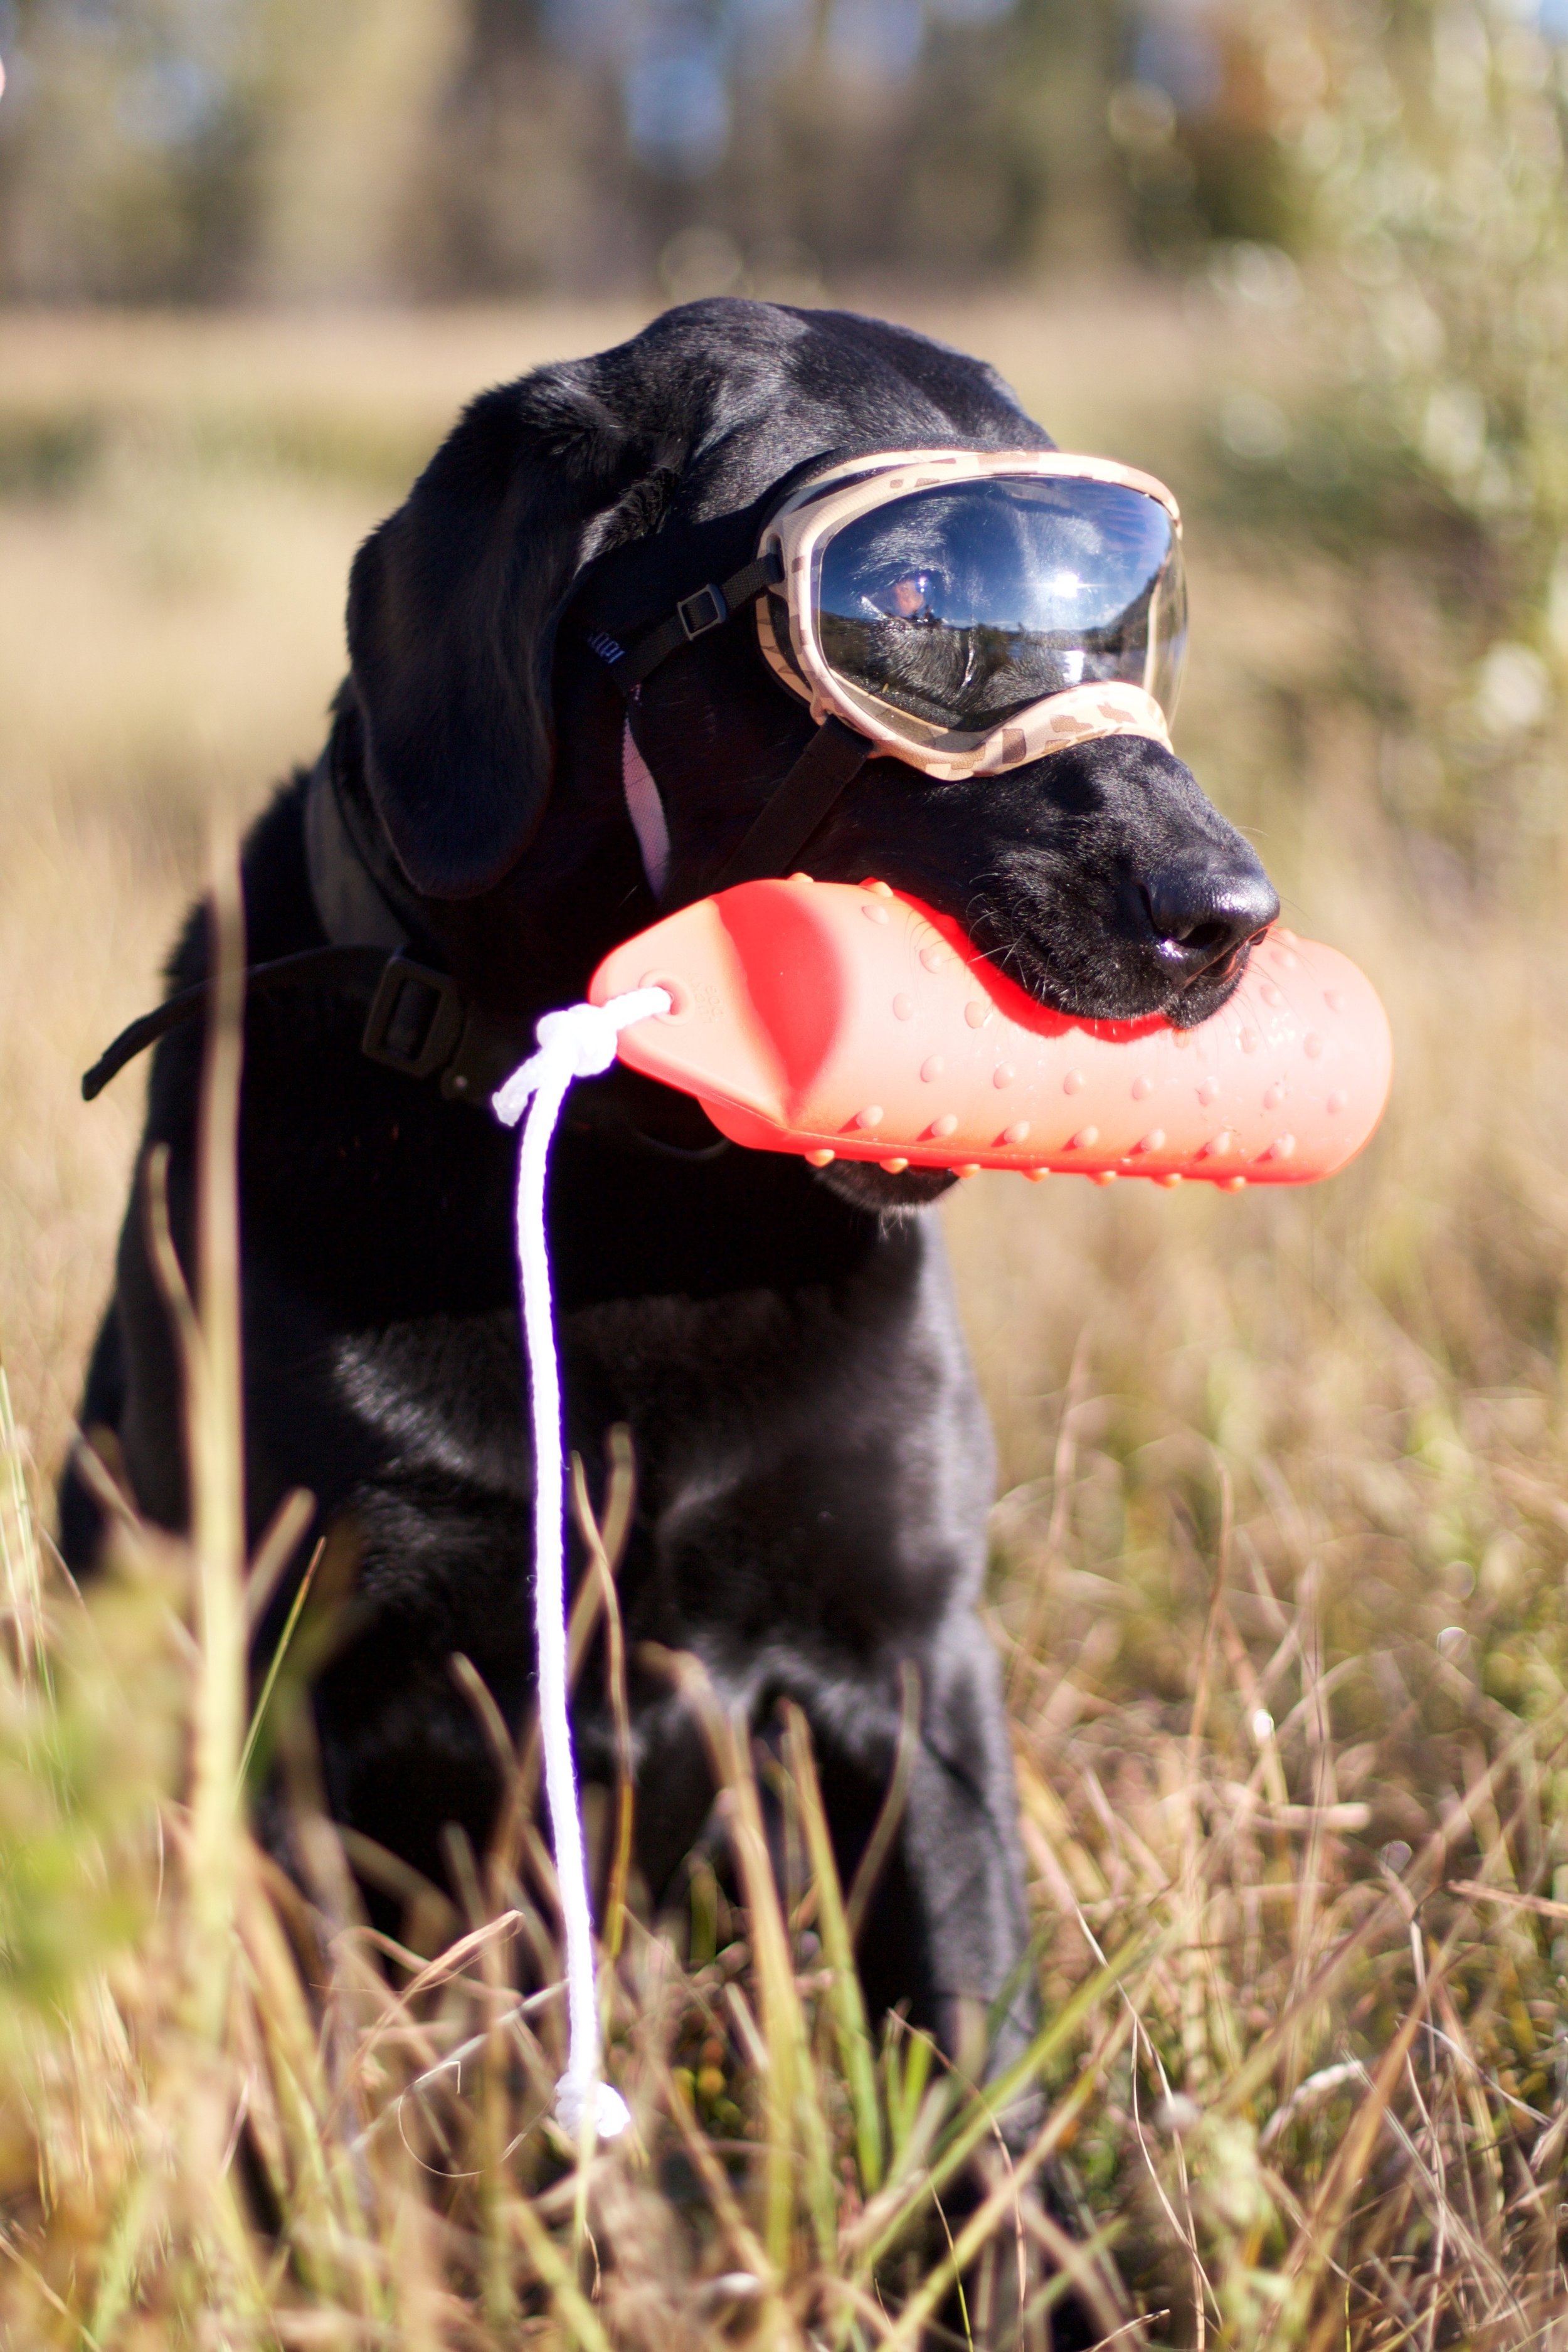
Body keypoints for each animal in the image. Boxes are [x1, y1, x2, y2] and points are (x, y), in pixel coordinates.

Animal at [61, 289, 1278, 2098]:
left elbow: (975, 2058)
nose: (1226, 915)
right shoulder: (285, 1691)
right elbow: (318, 2095)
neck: (622, 1196)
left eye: (1127, 624)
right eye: (904, 599)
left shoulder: (910, 1659)